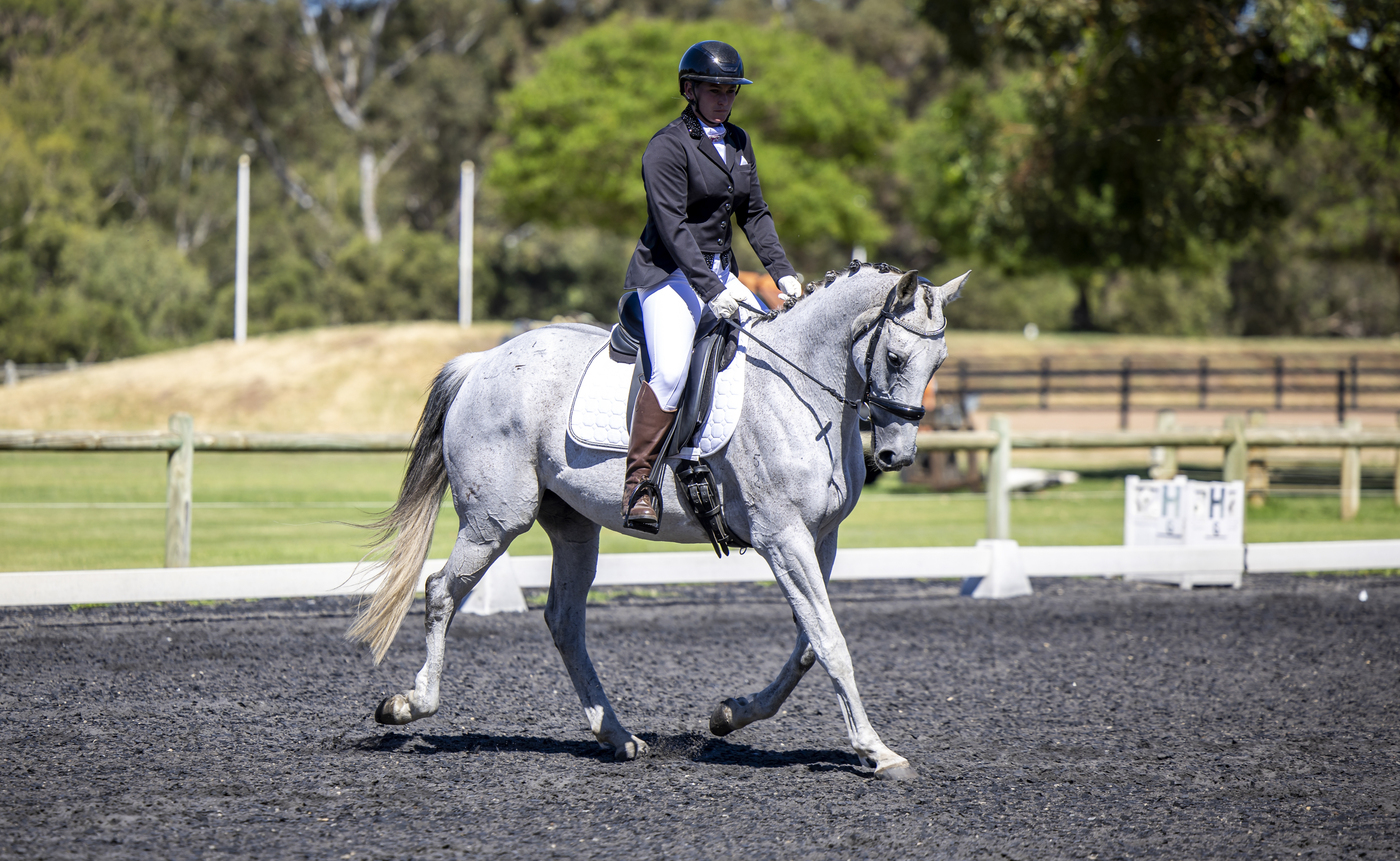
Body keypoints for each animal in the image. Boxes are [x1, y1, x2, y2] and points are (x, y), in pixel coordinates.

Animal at [348, 262, 969, 781]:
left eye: (939, 364)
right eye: (895, 359)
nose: (895, 457)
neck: (801, 394)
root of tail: (484, 361)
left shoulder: (822, 540)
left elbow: (808, 644)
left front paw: (729, 714)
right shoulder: (783, 538)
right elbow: (830, 641)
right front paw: (876, 751)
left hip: (574, 527)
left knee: (563, 620)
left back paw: (617, 736)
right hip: (496, 520)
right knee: (440, 591)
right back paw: (407, 705)